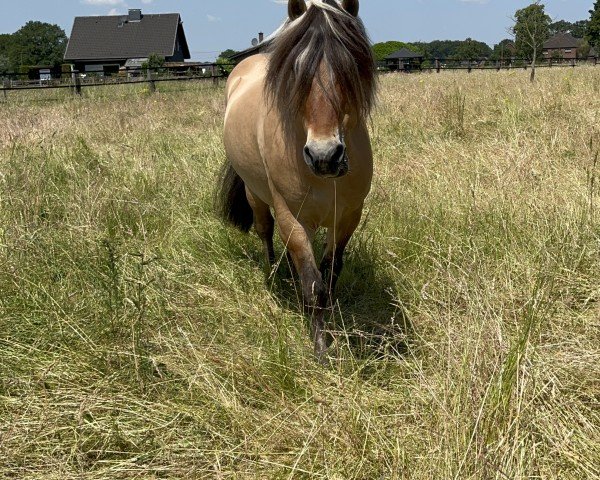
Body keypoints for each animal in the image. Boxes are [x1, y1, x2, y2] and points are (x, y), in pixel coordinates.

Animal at [218, 0, 376, 360]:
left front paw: (331, 320)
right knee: (265, 232)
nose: (324, 156)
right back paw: (276, 276)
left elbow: (330, 273)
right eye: (296, 71)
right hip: (256, 196)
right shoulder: (293, 218)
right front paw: (320, 348)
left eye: (350, 66)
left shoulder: (348, 217)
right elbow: (313, 284)